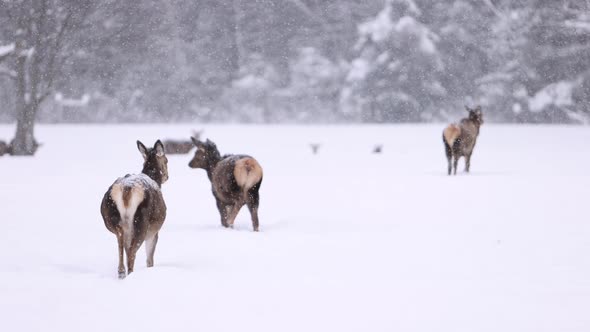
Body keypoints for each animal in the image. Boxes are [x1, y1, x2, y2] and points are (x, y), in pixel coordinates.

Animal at [102, 139, 169, 278]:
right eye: (166, 160)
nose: (167, 177)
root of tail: (126, 189)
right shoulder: (154, 232)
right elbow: (150, 259)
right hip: (142, 222)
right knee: (132, 251)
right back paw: (130, 274)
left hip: (112, 218)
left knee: (121, 242)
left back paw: (121, 272)